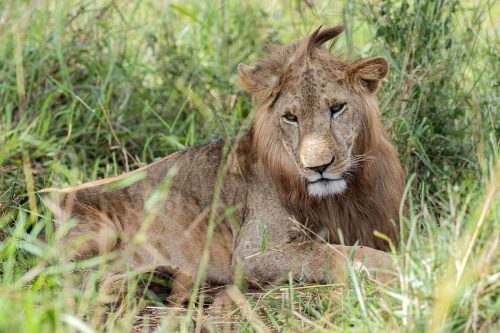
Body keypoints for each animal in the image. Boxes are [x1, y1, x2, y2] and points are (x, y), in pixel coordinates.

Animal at [40, 24, 406, 302]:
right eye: (290, 117)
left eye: (337, 108)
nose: (318, 167)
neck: (340, 197)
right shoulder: (252, 254)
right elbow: (334, 252)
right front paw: (401, 268)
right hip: (94, 230)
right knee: (67, 282)